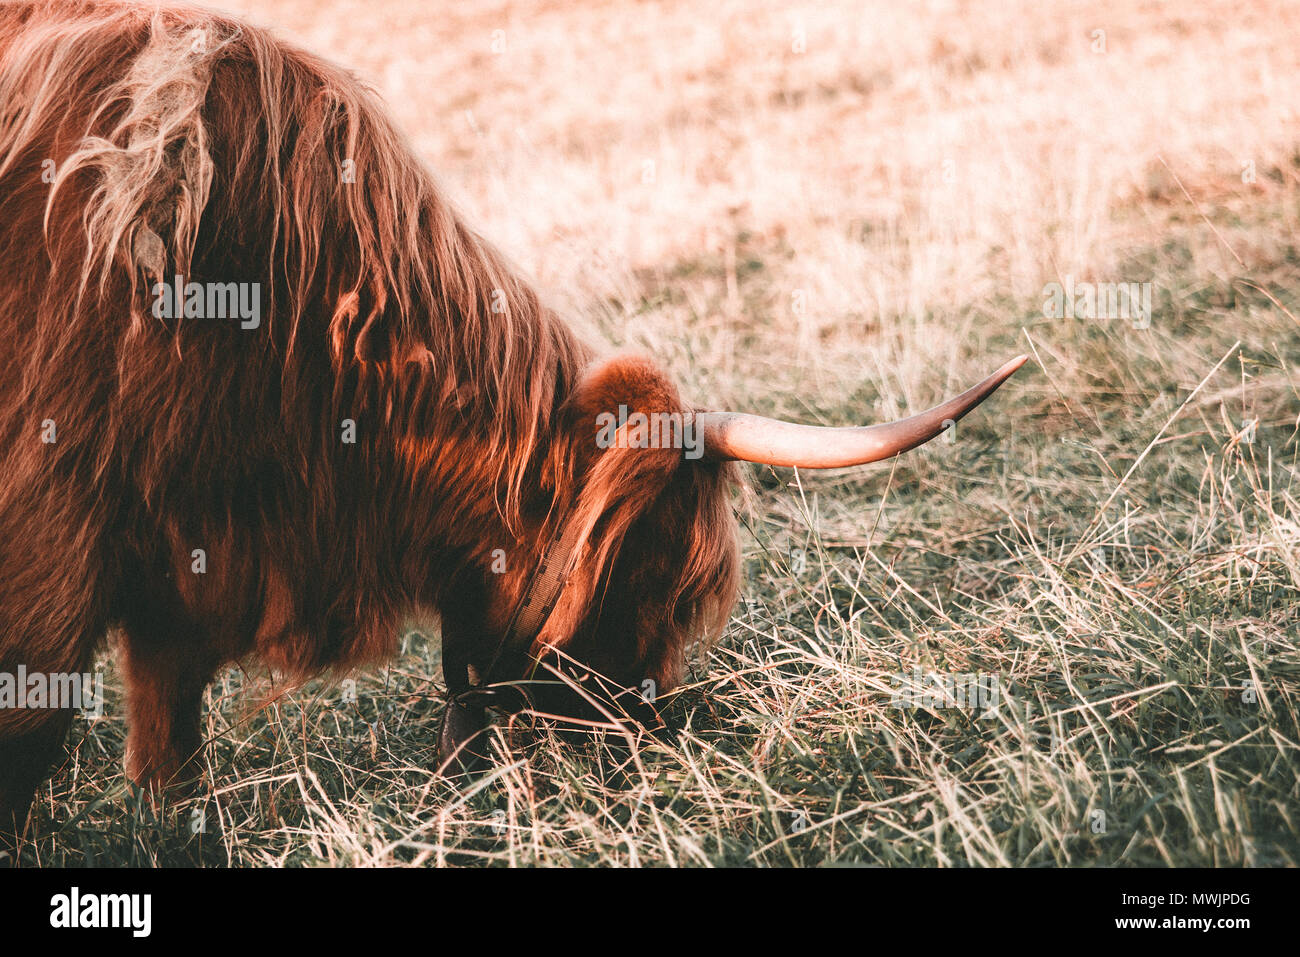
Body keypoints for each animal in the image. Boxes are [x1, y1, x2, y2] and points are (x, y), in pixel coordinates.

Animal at [0, 0, 1024, 842]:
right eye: (653, 573)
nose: (644, 736)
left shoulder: (175, 549)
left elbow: (170, 723)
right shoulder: (54, 521)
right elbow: (39, 721)